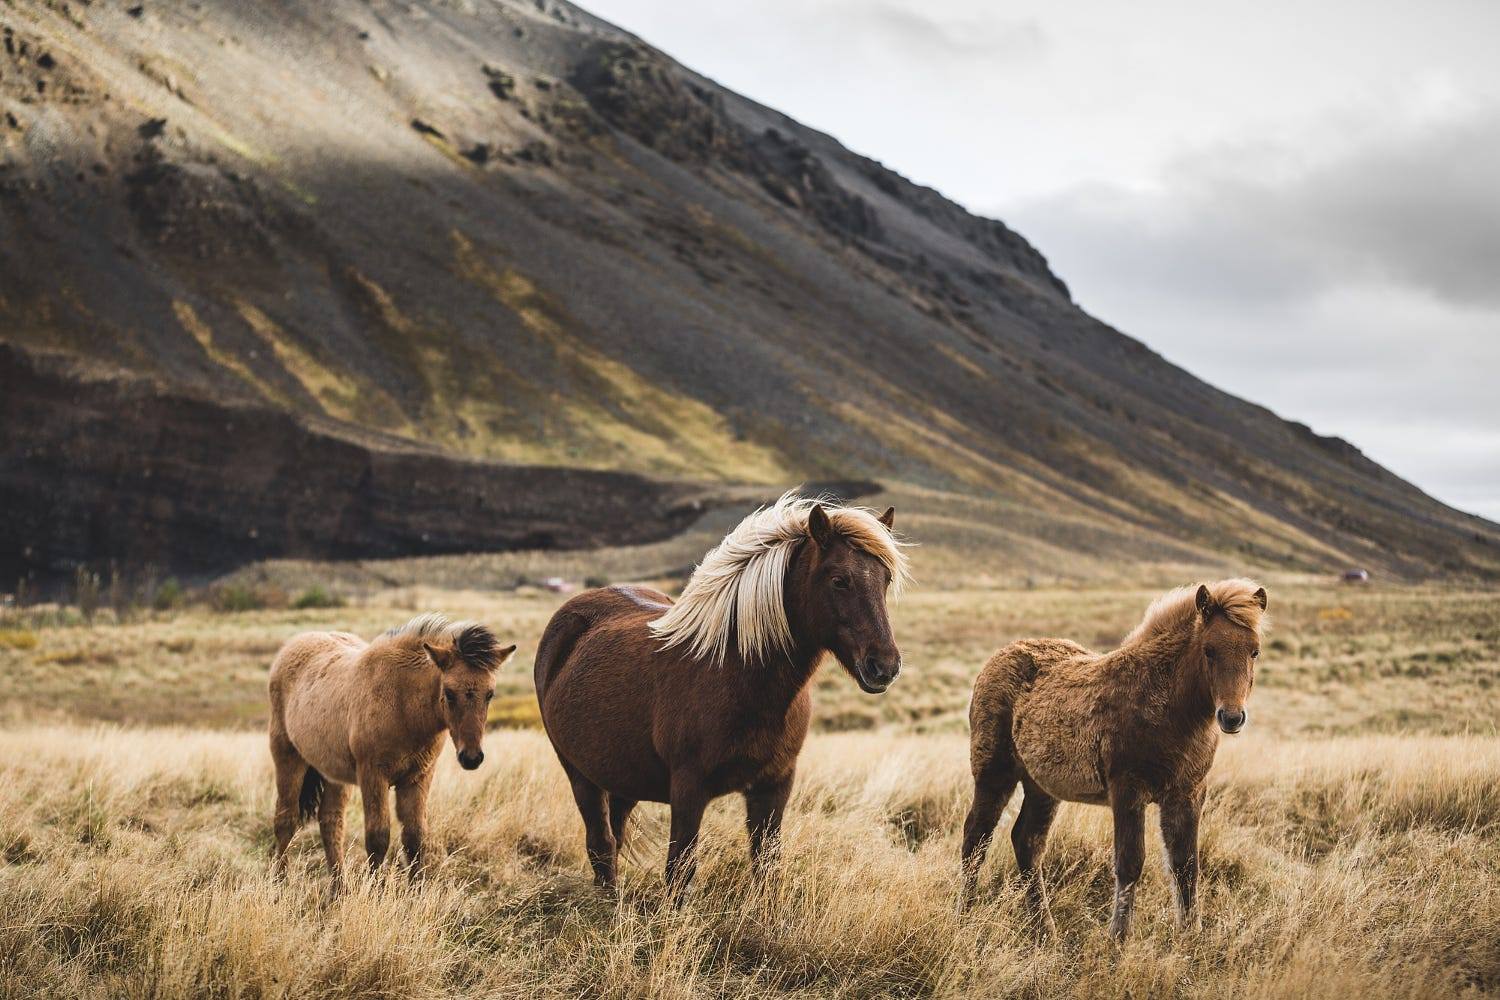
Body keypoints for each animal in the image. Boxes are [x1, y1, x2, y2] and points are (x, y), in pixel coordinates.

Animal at [273, 614, 519, 881]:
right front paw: (374, 889)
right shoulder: (373, 775)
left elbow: (415, 837)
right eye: (450, 693)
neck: (403, 704)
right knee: (285, 819)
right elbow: (378, 838)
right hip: (288, 758)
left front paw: (416, 889)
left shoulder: (418, 777)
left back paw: (340, 889)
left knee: (331, 822)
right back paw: (280, 882)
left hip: (334, 774)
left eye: (490, 694)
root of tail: (292, 646)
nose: (471, 757)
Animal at [960, 578, 1266, 941]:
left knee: (1027, 841)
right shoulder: (1128, 791)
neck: (1167, 706)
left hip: (1041, 788)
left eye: (1254, 651)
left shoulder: (1188, 793)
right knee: (976, 838)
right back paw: (964, 916)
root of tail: (997, 658)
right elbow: (1130, 863)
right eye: (1209, 650)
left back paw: (1044, 931)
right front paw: (1117, 941)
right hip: (994, 774)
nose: (1232, 717)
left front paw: (1192, 938)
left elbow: (1186, 865)